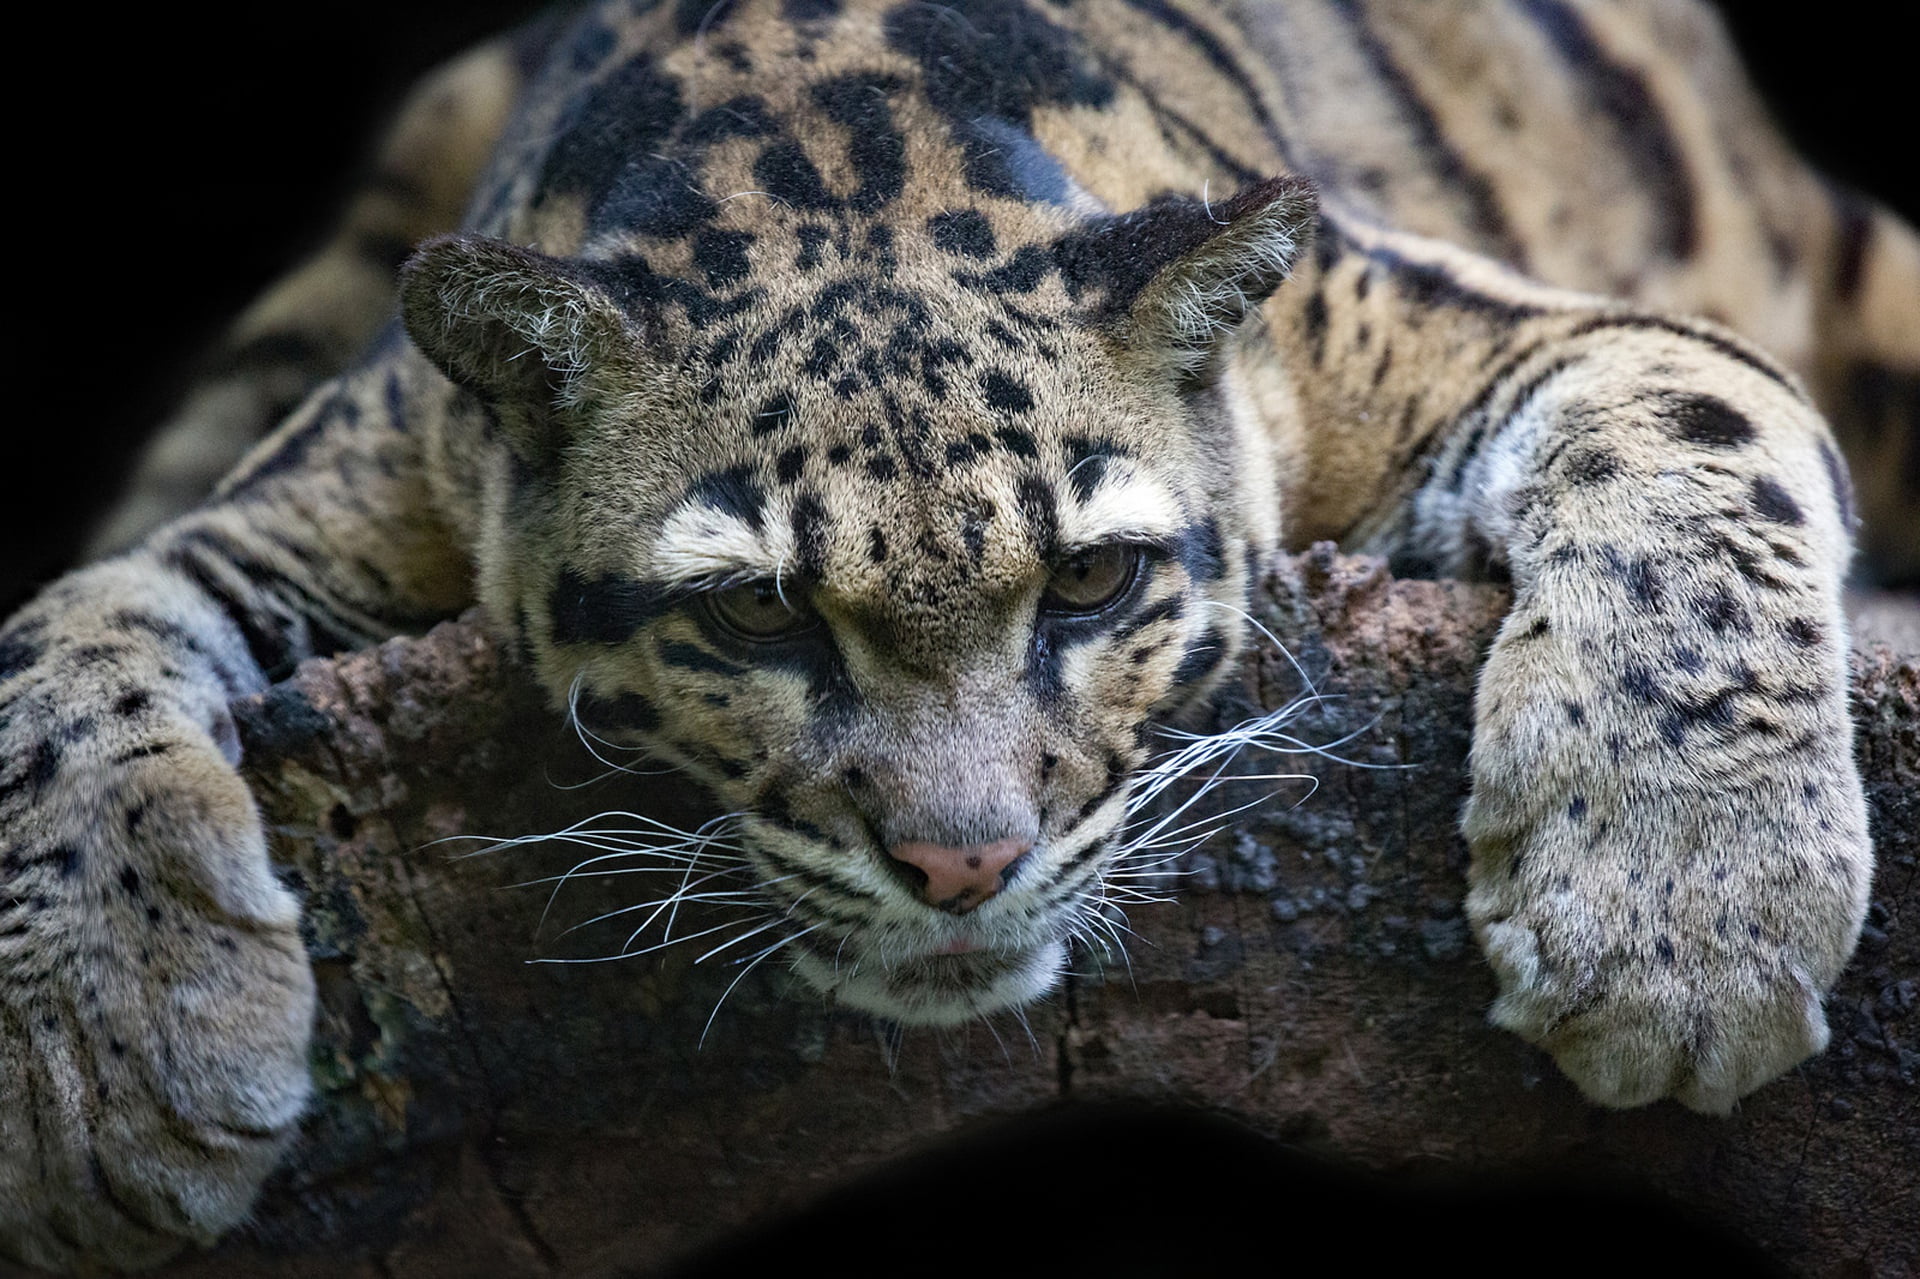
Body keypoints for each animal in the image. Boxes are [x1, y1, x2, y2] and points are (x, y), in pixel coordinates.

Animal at [4, 0, 1917, 1270]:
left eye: (1089, 585)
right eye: (755, 608)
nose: (960, 862)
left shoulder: (1479, 320)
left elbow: (1693, 456)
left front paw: (1678, 931)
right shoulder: (333, 473)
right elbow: (57, 645)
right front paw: (105, 1075)